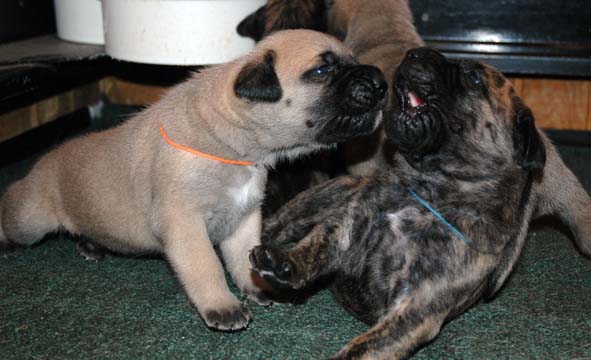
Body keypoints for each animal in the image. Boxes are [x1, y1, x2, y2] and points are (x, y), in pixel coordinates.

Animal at [251, 47, 591, 358]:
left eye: (473, 77)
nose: (416, 52)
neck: (428, 191)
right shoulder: (345, 227)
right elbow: (314, 247)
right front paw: (286, 263)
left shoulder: (415, 308)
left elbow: (362, 348)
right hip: (322, 197)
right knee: (280, 223)